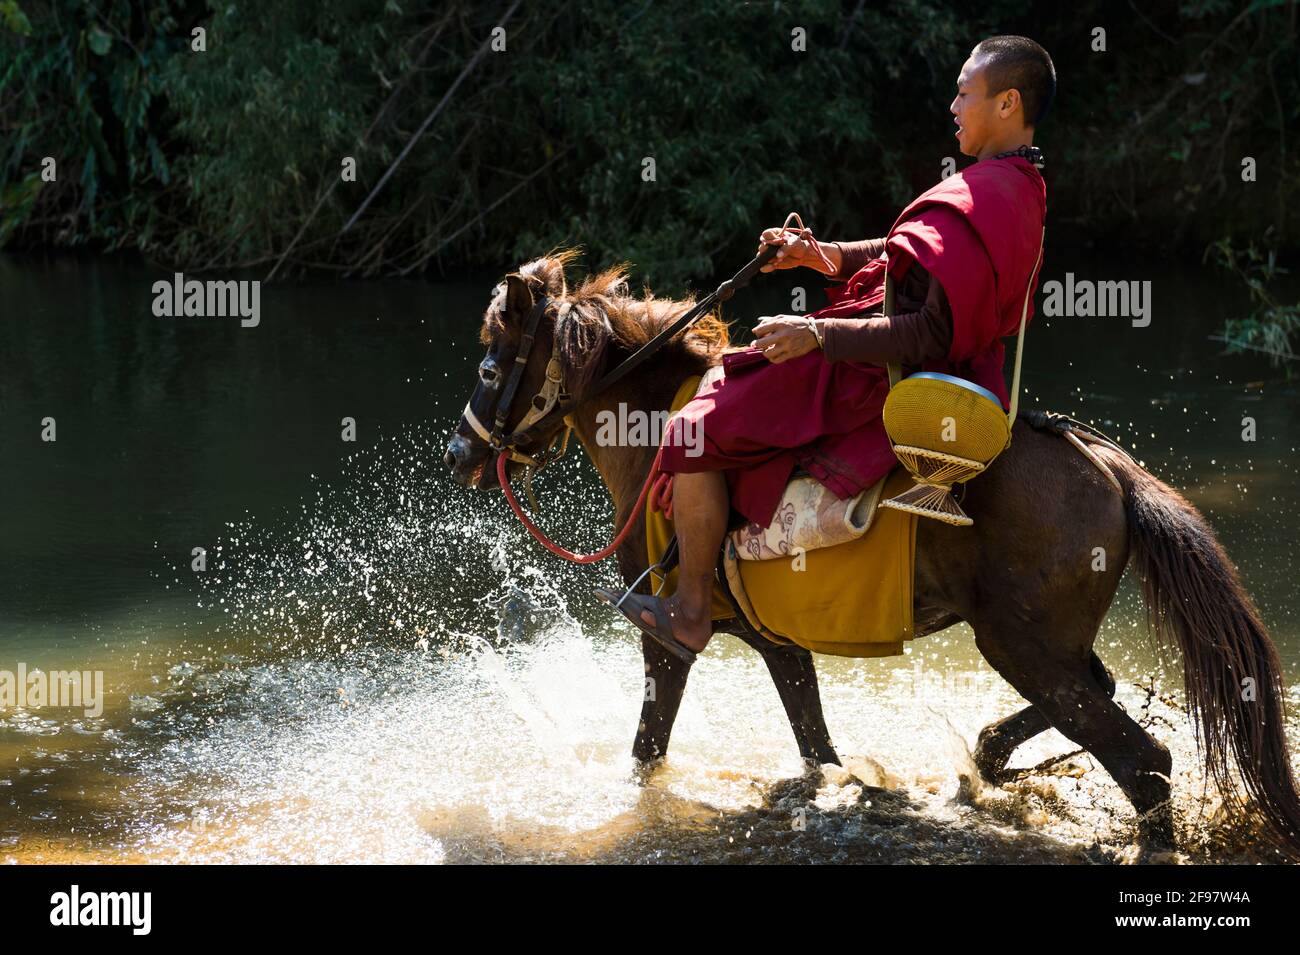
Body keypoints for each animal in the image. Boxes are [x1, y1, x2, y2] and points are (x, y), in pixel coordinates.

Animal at [444, 254, 1300, 857]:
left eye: (490, 364)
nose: (460, 452)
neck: (653, 429)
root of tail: (1110, 467)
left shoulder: (668, 645)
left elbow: (646, 752)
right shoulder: (779, 644)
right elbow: (818, 748)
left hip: (1022, 646)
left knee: (1145, 760)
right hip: (1048, 646)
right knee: (1100, 697)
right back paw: (991, 758)